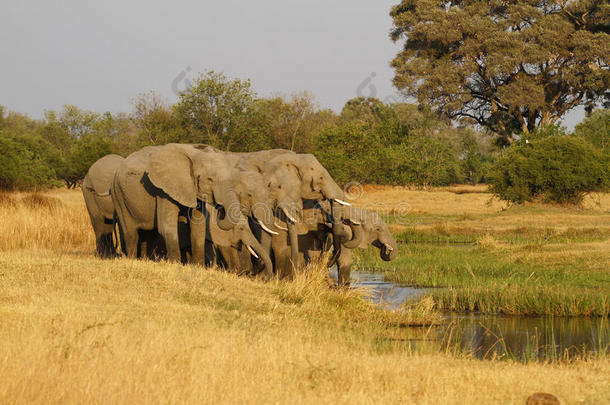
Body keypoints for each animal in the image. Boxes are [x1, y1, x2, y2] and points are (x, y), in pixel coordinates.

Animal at [110, 143, 272, 278]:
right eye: (210, 179)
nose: (220, 207)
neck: (194, 155)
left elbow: (198, 228)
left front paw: (198, 266)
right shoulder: (163, 190)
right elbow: (167, 227)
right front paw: (175, 264)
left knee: (148, 234)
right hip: (119, 195)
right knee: (131, 232)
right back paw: (131, 259)